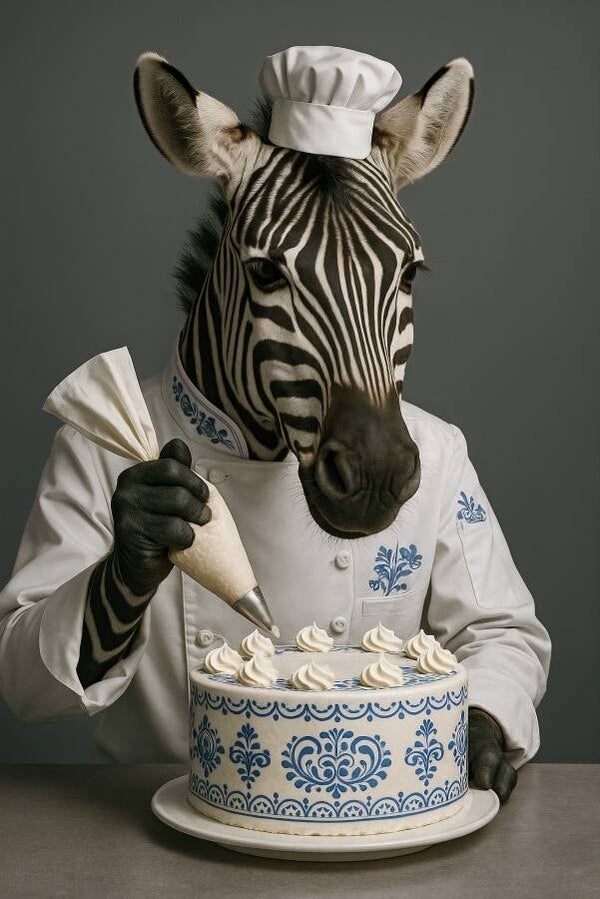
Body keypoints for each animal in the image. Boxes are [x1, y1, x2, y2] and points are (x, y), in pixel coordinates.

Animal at [76, 51, 474, 687]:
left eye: (410, 273)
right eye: (265, 271)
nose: (376, 474)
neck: (258, 459)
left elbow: (504, 629)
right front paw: (144, 525)